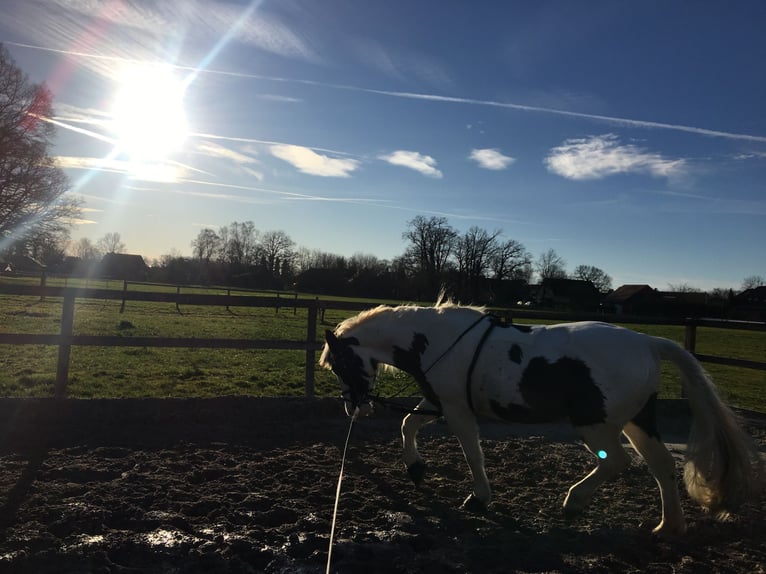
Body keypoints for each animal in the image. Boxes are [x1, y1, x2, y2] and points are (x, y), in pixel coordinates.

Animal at [320, 302, 764, 540]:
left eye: (340, 363)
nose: (354, 408)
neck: (437, 340)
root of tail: (649, 343)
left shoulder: (458, 410)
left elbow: (472, 454)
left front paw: (478, 498)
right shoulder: (439, 402)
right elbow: (408, 425)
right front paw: (415, 468)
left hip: (595, 424)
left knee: (617, 462)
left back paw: (574, 502)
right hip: (637, 421)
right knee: (661, 465)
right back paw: (668, 527)